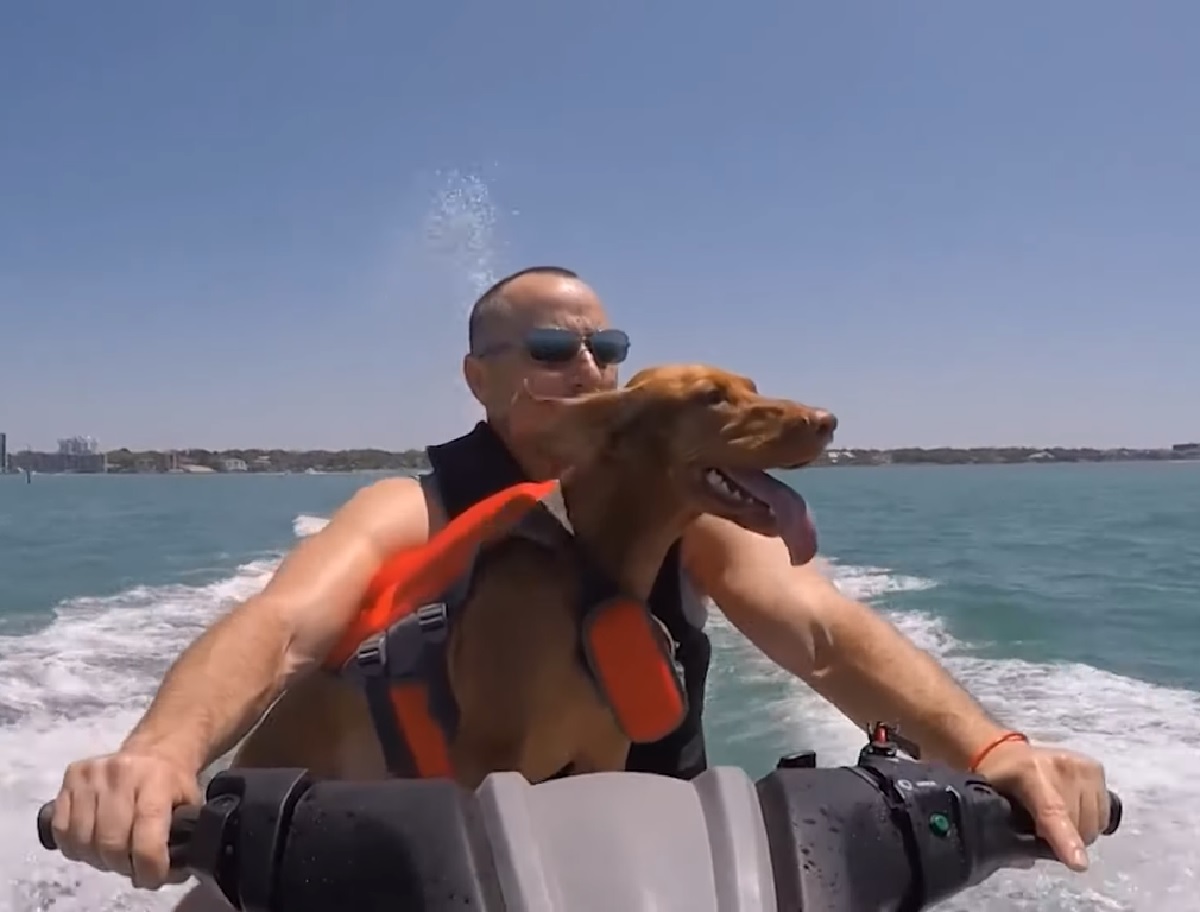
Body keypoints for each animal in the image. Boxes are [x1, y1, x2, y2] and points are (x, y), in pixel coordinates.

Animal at [231, 362, 835, 792]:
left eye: (752, 387)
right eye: (711, 397)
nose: (827, 420)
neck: (585, 567)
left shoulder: (603, 755)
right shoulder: (485, 762)